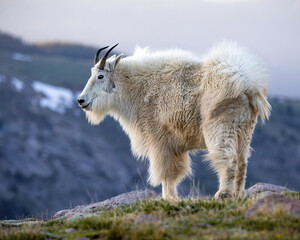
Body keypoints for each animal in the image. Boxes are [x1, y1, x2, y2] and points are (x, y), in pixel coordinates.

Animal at [78, 42, 272, 201]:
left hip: (221, 127)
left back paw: (223, 194)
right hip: (244, 130)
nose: (81, 100)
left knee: (228, 159)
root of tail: (248, 85)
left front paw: (168, 198)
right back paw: (238, 194)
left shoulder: (159, 139)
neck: (138, 88)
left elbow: (166, 173)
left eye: (100, 76)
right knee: (242, 161)